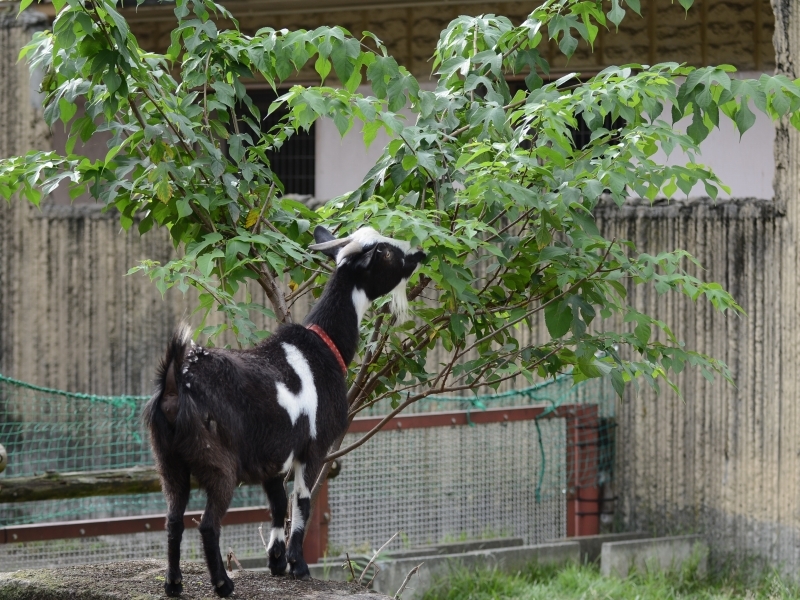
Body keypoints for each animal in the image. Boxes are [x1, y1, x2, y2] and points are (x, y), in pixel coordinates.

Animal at [143, 225, 424, 596]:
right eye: (386, 253)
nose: (420, 254)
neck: (323, 346)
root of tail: (176, 381)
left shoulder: (274, 454)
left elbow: (277, 504)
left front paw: (275, 562)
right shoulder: (314, 446)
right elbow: (302, 501)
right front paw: (298, 566)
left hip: (168, 461)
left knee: (173, 519)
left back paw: (173, 584)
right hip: (217, 460)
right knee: (207, 524)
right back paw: (223, 584)